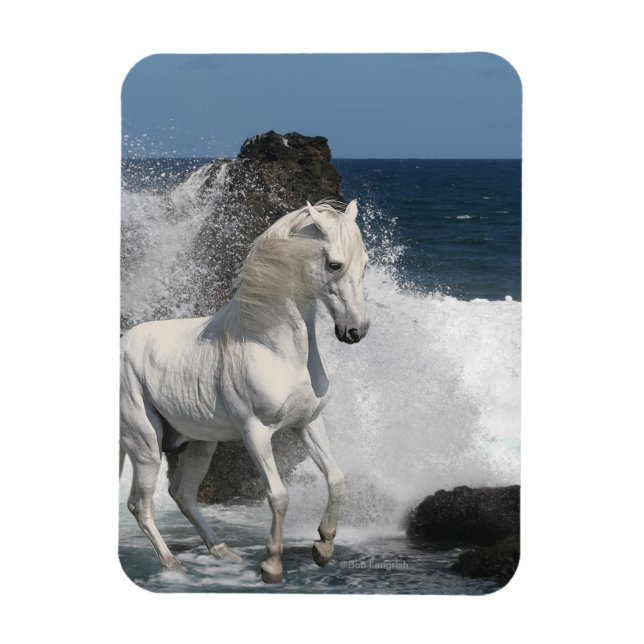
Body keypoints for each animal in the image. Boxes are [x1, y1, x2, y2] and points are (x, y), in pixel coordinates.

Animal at [120, 199, 369, 583]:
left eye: (366, 263)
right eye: (334, 264)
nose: (356, 331)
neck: (273, 346)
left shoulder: (308, 423)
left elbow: (336, 478)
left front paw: (323, 547)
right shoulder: (256, 433)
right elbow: (278, 496)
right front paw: (271, 566)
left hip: (200, 444)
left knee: (182, 494)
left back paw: (222, 551)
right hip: (144, 444)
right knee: (140, 504)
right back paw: (172, 564)